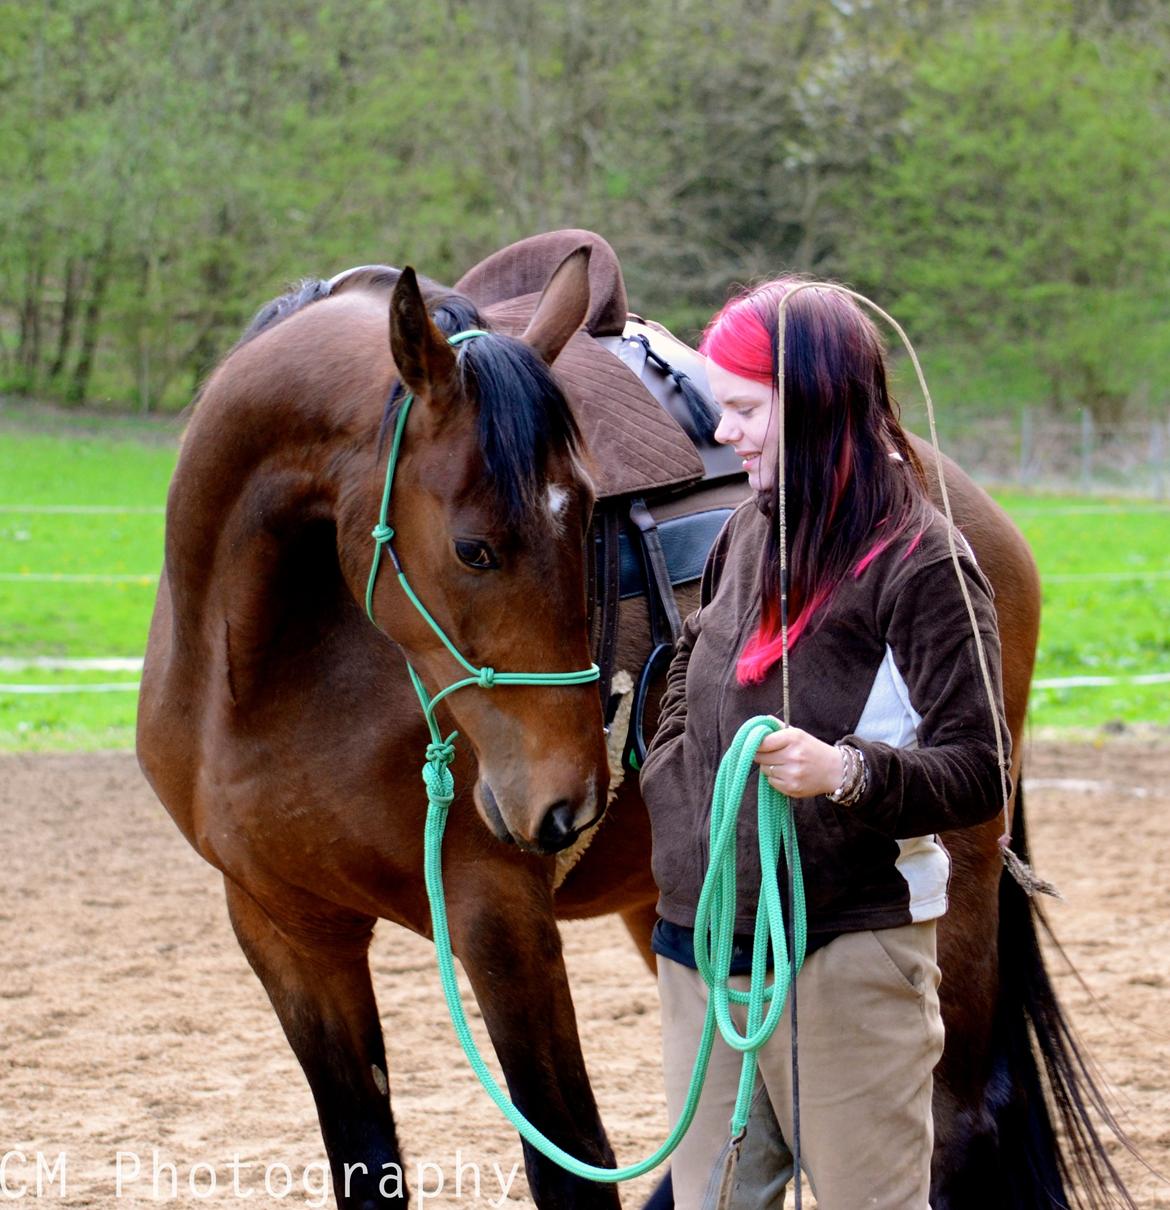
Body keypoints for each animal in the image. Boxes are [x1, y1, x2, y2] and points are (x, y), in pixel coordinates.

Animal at [134, 228, 1127, 1210]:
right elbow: (366, 1163)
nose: (566, 799)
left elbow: (570, 1158)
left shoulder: (496, 912)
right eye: (474, 549)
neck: (263, 671)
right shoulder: (286, 932)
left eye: (586, 524)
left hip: (946, 881)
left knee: (953, 1123)